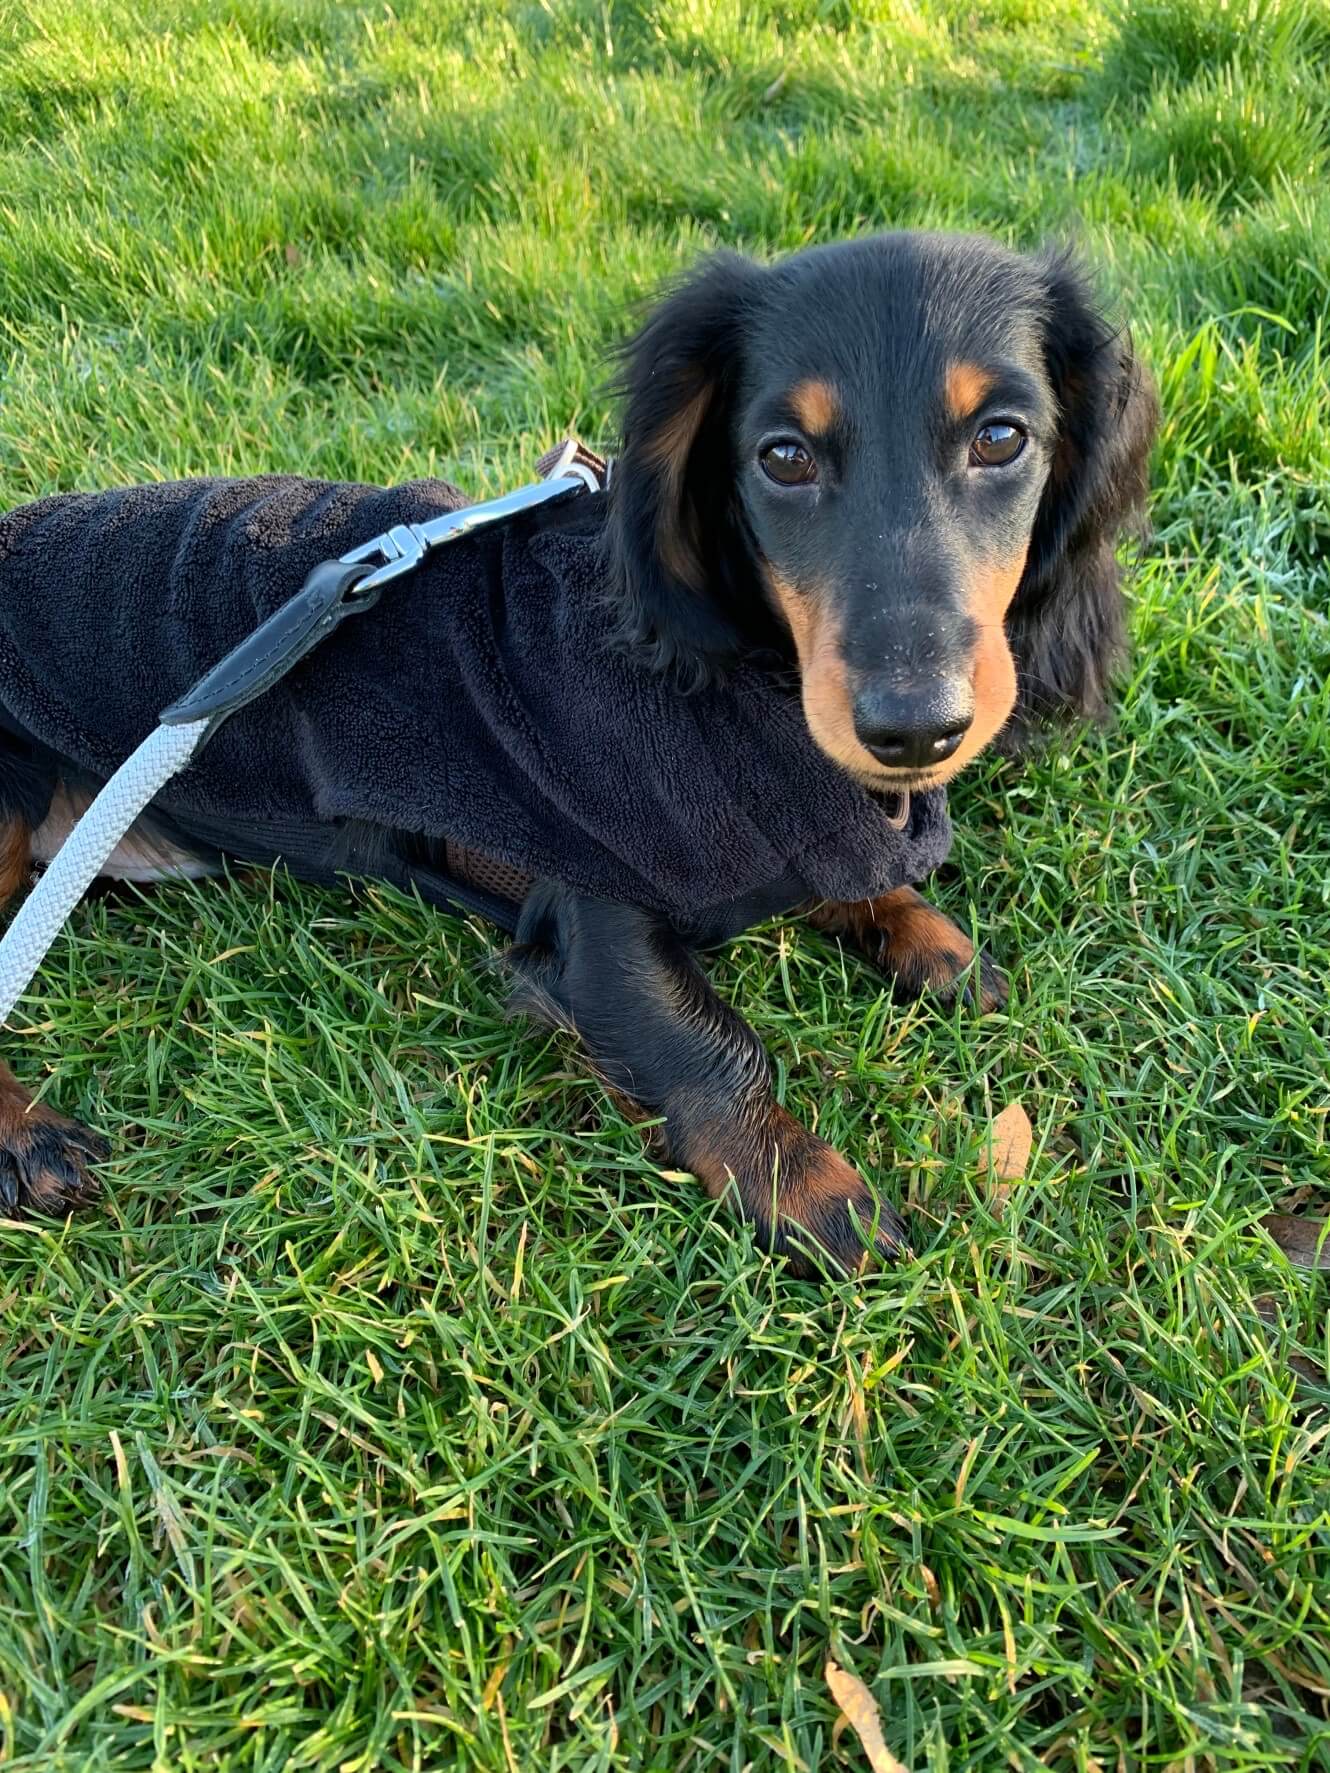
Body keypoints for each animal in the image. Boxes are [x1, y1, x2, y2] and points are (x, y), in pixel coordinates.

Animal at [0, 228, 1156, 1276]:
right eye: (782, 456)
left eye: (1001, 437)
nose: (915, 725)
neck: (746, 678)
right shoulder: (591, 908)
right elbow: (713, 1049)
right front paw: (812, 1193)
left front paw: (927, 939)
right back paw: (28, 1138)